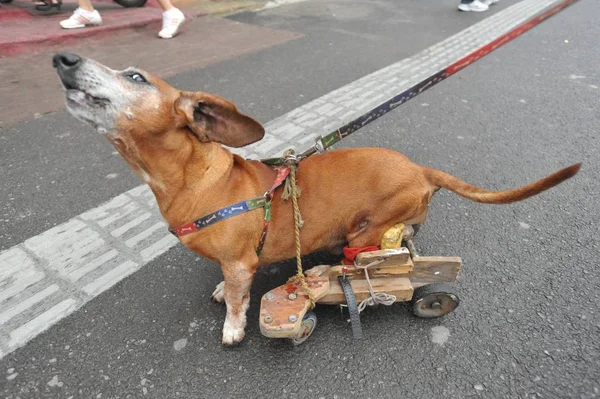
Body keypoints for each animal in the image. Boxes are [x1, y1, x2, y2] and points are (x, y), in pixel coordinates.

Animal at [55, 52, 580, 346]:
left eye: (136, 77)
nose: (63, 58)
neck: (196, 180)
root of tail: (421, 169)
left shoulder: (242, 262)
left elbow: (237, 302)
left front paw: (233, 328)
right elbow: (229, 286)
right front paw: (223, 293)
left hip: (365, 229)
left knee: (378, 260)